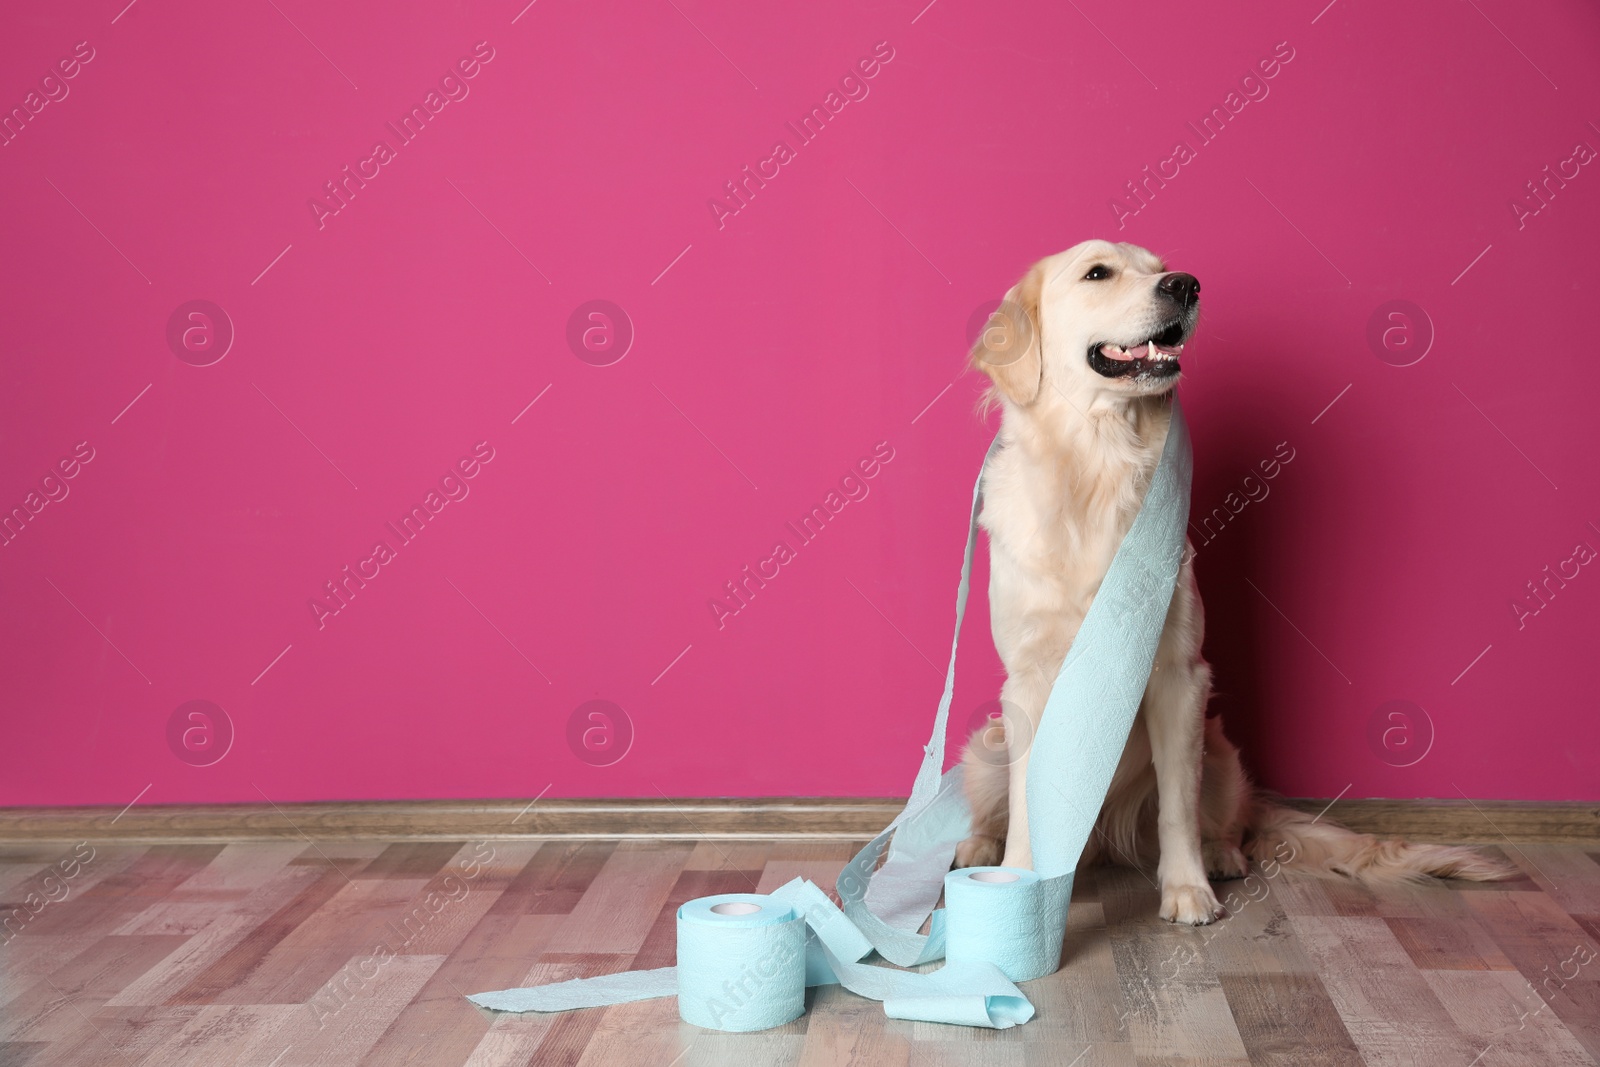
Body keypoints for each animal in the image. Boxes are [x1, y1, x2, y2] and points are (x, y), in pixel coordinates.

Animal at [953, 238, 1516, 921]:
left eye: (1159, 266)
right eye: (1097, 273)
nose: (1186, 285)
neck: (1098, 466)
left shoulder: (1178, 676)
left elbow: (1177, 808)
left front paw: (1187, 889)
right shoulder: (1030, 682)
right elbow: (1029, 807)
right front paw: (1017, 883)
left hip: (1217, 749)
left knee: (1219, 818)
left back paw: (1220, 856)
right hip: (987, 744)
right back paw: (977, 847)